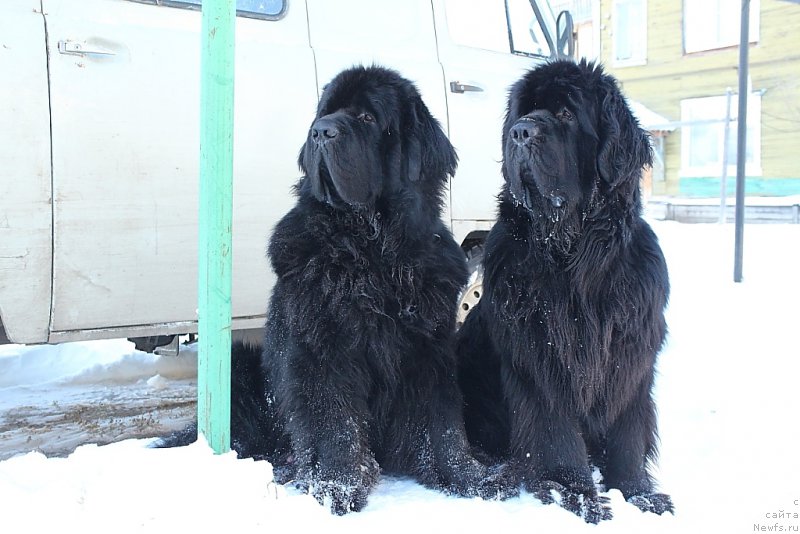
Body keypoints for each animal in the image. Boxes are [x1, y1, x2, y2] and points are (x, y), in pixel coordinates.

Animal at [160, 65, 510, 516]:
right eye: (324, 113)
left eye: (366, 118)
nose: (320, 132)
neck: (372, 250)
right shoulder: (321, 350)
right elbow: (334, 422)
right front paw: (336, 488)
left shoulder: (429, 351)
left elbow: (442, 423)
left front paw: (468, 476)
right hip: (238, 367)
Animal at [456, 60, 676, 524]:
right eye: (524, 112)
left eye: (566, 114)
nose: (521, 132)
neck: (574, 256)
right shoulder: (541, 356)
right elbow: (554, 430)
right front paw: (573, 493)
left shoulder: (628, 354)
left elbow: (628, 431)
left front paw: (637, 494)